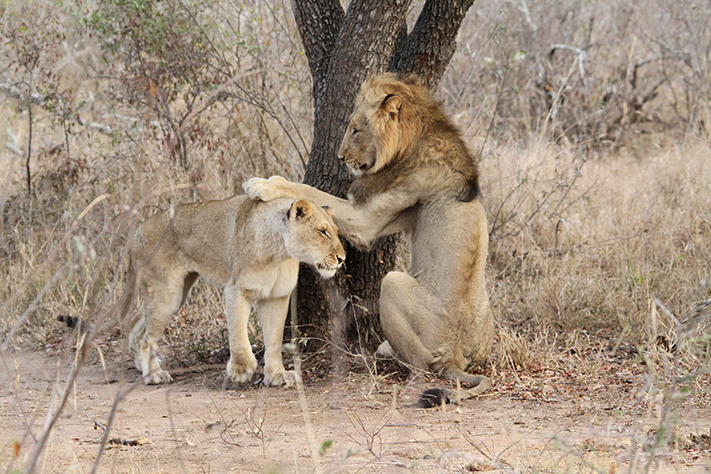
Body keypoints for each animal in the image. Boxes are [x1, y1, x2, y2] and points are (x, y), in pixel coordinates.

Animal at [122, 196, 344, 386]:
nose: (342, 259)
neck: (280, 252)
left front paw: (277, 376)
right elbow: (238, 334)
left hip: (175, 293)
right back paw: (154, 375)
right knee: (145, 338)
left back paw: (142, 367)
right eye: (322, 231)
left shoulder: (277, 296)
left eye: (334, 230)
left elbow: (274, 340)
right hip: (168, 295)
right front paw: (241, 371)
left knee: (135, 324)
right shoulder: (237, 289)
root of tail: (138, 230)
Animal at [245, 72, 496, 406]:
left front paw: (265, 184)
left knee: (422, 364)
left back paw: (390, 354)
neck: (415, 141)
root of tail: (453, 356)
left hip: (393, 284)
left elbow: (311, 191)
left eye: (356, 129)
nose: (340, 157)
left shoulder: (368, 220)